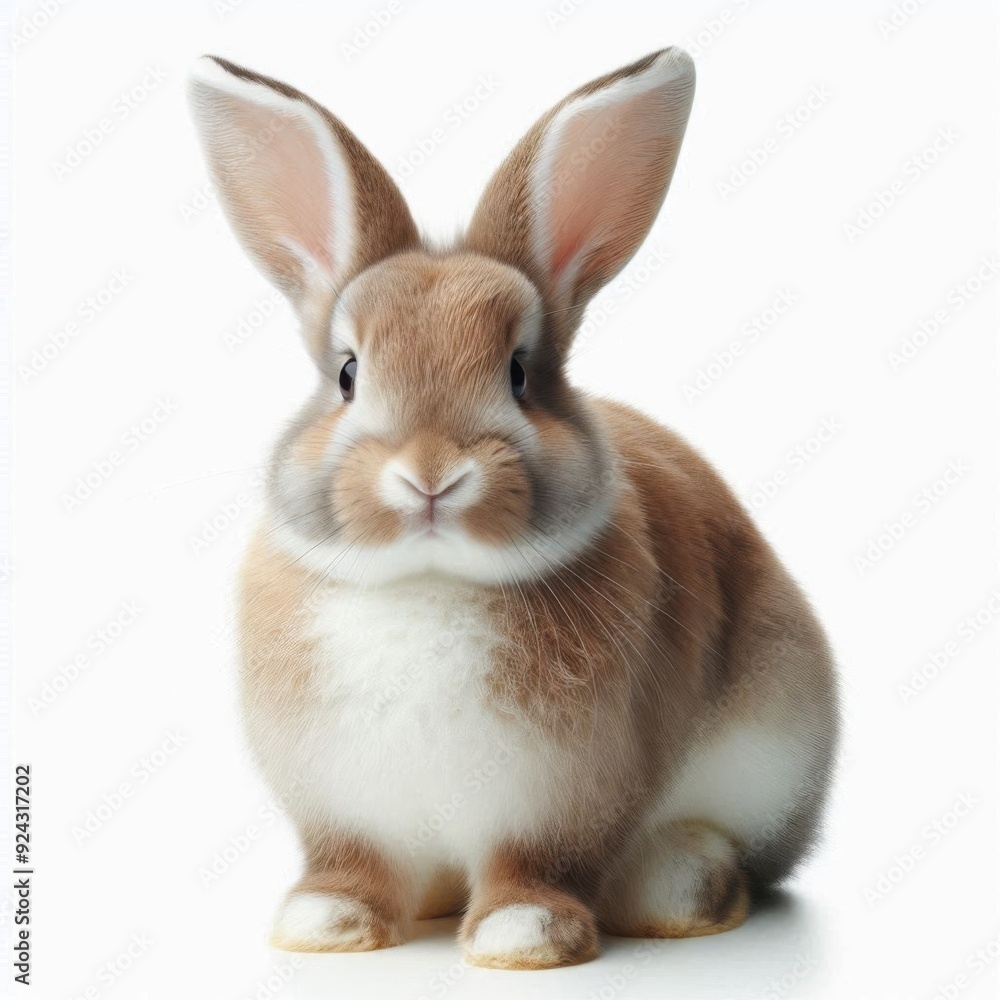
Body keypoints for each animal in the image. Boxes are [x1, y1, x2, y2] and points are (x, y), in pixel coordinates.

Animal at [188, 47, 839, 970]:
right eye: (347, 373)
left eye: (520, 372)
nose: (430, 475)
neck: (427, 583)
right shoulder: (342, 809)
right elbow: (352, 866)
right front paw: (324, 924)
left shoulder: (560, 801)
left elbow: (534, 868)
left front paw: (521, 937)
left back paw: (673, 889)